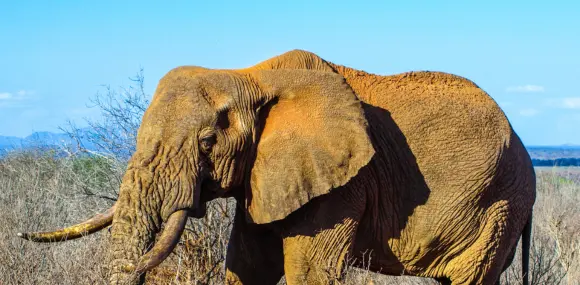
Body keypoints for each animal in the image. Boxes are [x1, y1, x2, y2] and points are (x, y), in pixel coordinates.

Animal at [17, 49, 536, 284]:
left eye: (207, 141)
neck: (249, 74)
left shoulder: (343, 185)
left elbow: (308, 271)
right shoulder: (266, 176)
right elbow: (247, 264)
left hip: (499, 205)